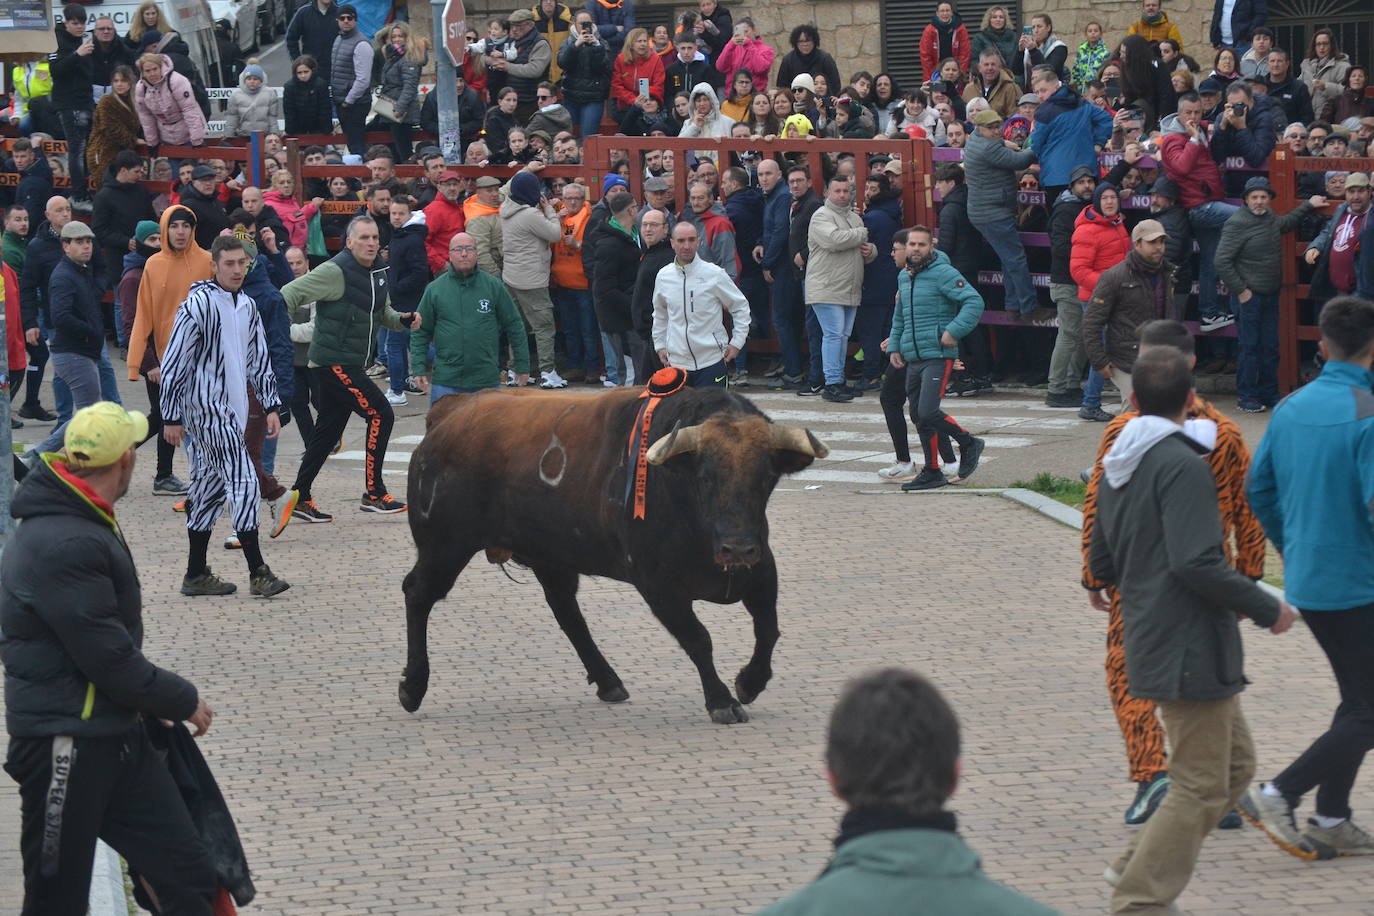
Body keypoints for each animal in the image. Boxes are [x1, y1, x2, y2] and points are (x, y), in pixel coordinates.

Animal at [398, 384, 824, 725]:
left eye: (766, 476)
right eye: (705, 477)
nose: (736, 547)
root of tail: (450, 412)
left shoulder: (761, 569)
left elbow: (768, 629)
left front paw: (749, 683)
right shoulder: (658, 586)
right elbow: (698, 639)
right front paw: (722, 701)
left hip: (549, 555)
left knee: (566, 611)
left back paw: (608, 681)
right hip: (444, 546)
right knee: (417, 593)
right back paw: (412, 687)